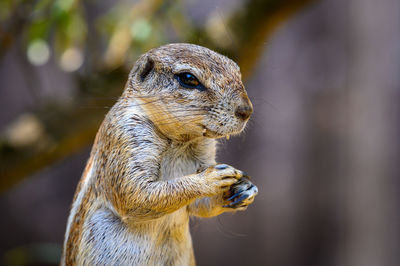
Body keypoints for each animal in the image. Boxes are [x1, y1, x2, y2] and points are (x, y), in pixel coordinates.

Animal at [61, 42, 258, 264]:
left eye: (237, 70)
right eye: (188, 78)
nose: (246, 110)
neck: (180, 142)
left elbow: (199, 205)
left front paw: (245, 188)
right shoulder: (125, 135)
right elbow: (135, 194)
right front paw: (210, 179)